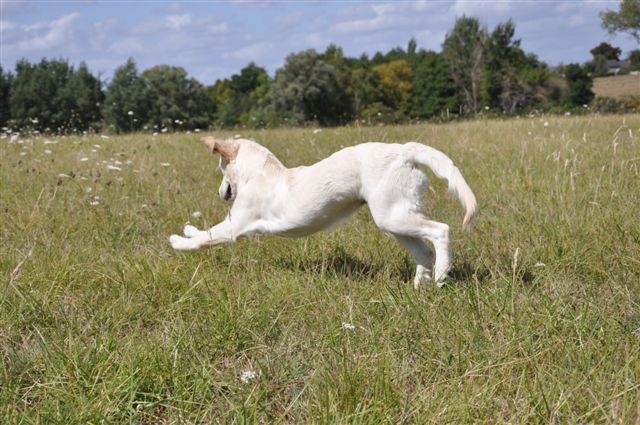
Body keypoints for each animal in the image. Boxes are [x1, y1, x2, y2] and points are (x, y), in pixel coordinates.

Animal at [170, 136, 476, 288]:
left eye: (220, 166)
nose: (220, 193)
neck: (261, 172)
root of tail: (403, 151)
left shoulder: (236, 225)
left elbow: (205, 238)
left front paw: (179, 242)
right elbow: (204, 231)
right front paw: (188, 229)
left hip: (393, 216)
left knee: (441, 231)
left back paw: (442, 275)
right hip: (394, 219)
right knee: (423, 251)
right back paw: (419, 286)